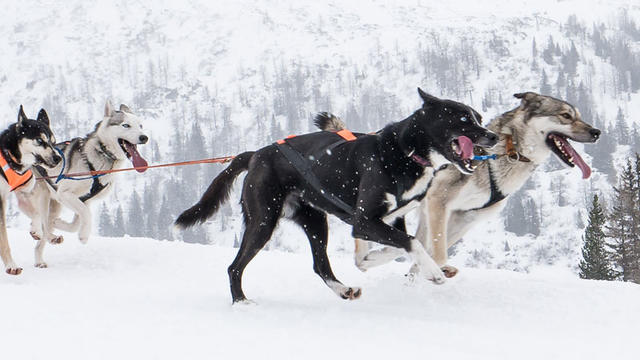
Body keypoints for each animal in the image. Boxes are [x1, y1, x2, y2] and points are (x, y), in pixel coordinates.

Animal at [0, 105, 61, 274]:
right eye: (40, 140)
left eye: (53, 142)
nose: (58, 158)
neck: (9, 156)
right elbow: (4, 239)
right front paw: (11, 265)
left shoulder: (25, 191)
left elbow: (37, 214)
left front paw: (37, 230)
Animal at [17, 100, 149, 268]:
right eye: (126, 125)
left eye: (141, 125)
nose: (144, 137)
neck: (102, 156)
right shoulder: (65, 194)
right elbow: (86, 215)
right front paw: (84, 236)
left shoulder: (84, 200)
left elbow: (76, 223)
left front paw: (62, 224)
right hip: (43, 195)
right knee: (40, 218)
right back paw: (41, 232)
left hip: (55, 204)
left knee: (44, 229)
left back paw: (41, 255)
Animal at [175, 88, 500, 302]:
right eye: (463, 119)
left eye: (479, 117)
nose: (493, 136)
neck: (405, 152)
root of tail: (256, 154)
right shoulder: (364, 221)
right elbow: (410, 242)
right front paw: (433, 272)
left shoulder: (390, 220)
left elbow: (400, 244)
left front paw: (377, 259)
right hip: (264, 220)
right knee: (235, 266)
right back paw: (242, 301)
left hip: (315, 221)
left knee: (320, 264)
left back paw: (344, 289)